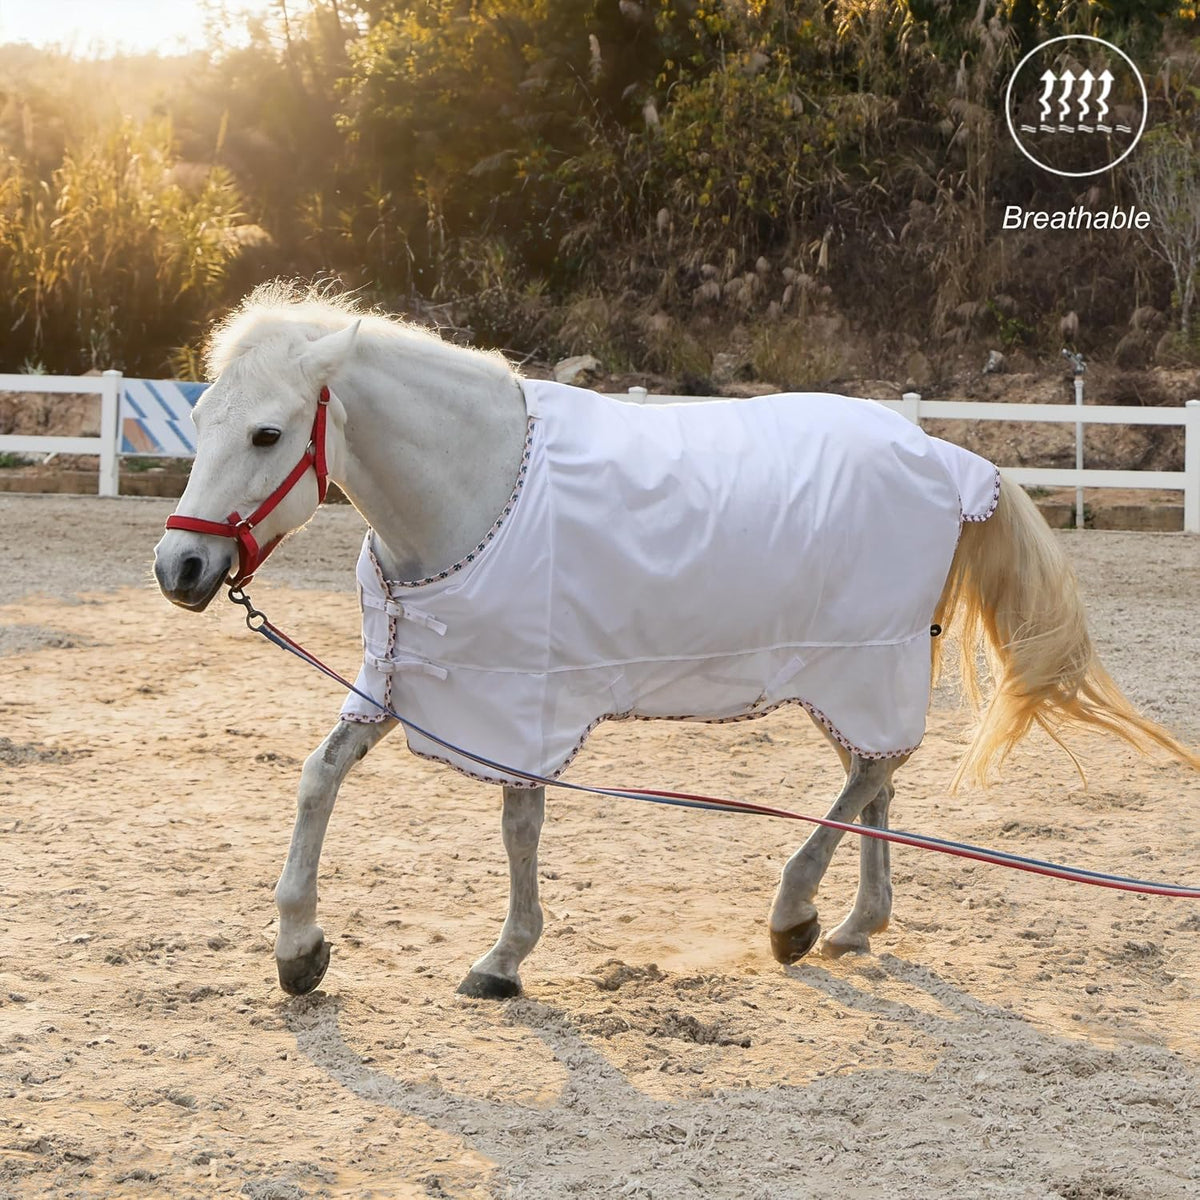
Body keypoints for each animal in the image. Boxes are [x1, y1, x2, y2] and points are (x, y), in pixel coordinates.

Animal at [153, 283, 1199, 1001]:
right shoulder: (411, 681)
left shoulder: (523, 703)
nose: (180, 569)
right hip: (850, 673)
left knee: (869, 775)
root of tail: (946, 456)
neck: (477, 485)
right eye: (197, 417)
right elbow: (318, 779)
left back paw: (795, 915)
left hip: (863, 663)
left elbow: (519, 825)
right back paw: (858, 923)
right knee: (876, 777)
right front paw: (299, 951)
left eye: (266, 433)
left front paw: (504, 958)